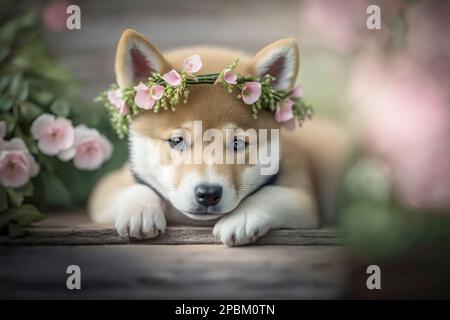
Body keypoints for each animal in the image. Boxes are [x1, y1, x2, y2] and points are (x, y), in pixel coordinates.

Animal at [87, 29, 348, 245]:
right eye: (176, 141)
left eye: (238, 143)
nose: (208, 194)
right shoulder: (107, 188)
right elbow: (135, 187)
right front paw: (140, 209)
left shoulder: (302, 197)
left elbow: (272, 194)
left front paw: (242, 218)